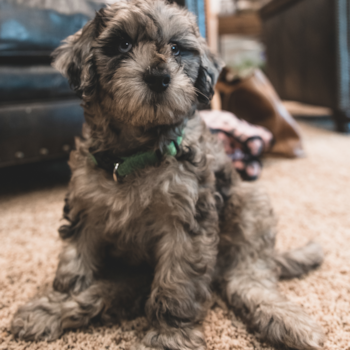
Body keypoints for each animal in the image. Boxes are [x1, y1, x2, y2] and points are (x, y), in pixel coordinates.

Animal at [11, 1, 326, 348]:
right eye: (123, 45)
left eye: (176, 48)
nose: (159, 77)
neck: (134, 156)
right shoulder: (85, 212)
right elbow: (74, 269)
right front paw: (59, 301)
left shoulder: (186, 221)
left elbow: (176, 283)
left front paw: (169, 336)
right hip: (133, 275)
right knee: (103, 295)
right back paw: (48, 313)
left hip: (250, 206)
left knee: (248, 277)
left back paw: (285, 321)